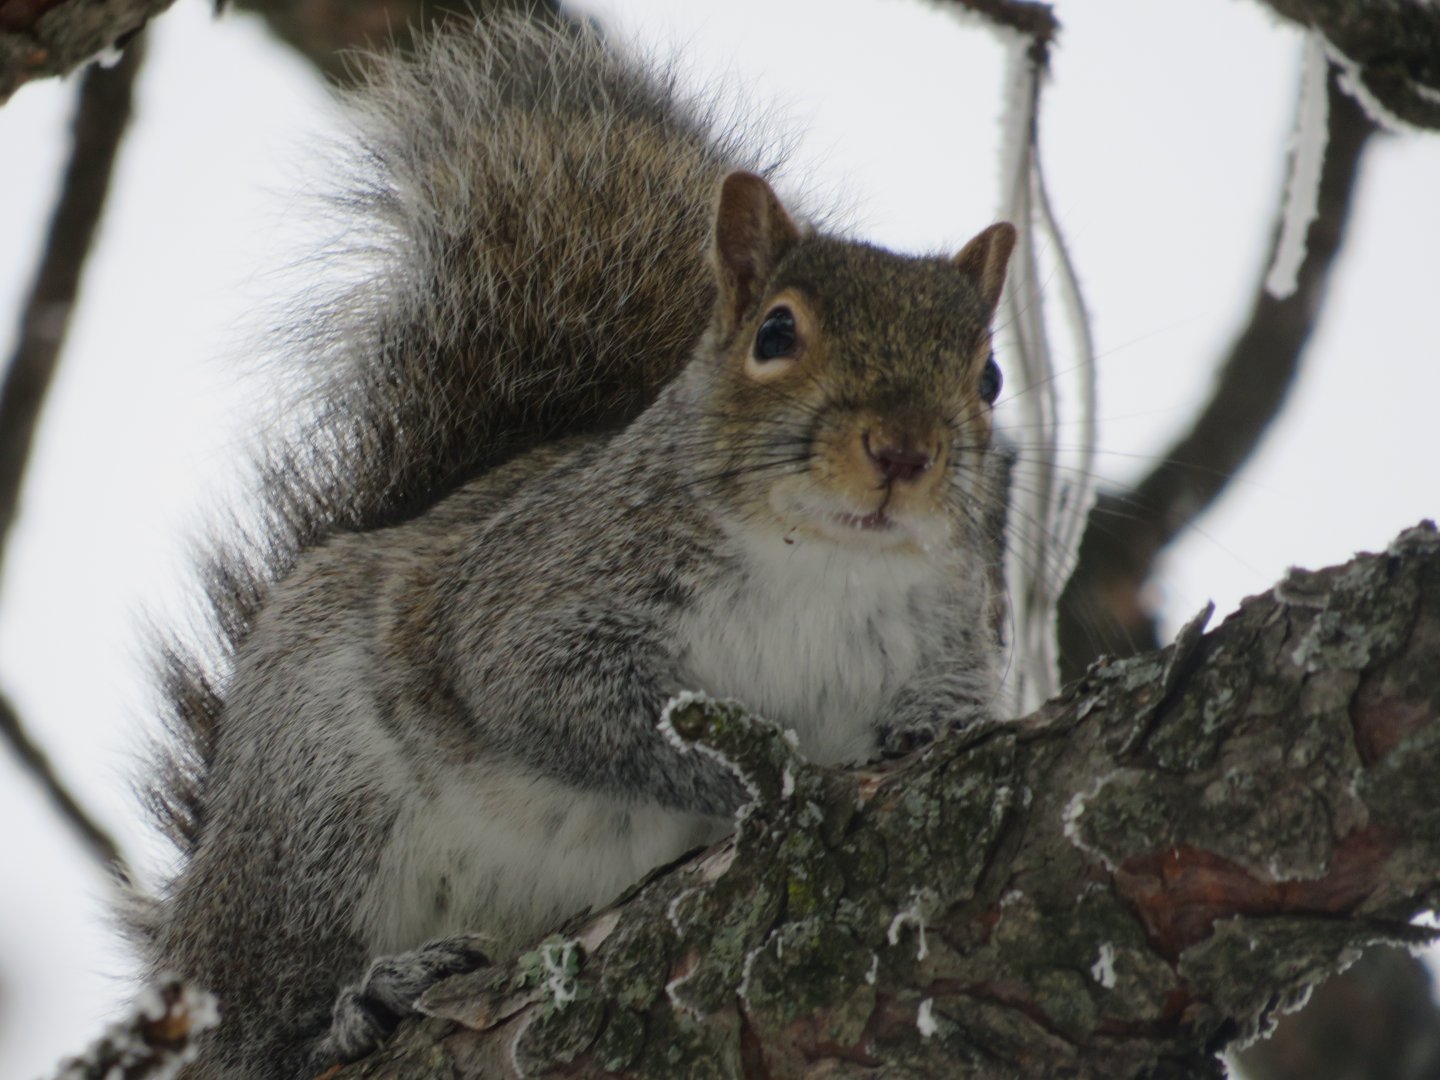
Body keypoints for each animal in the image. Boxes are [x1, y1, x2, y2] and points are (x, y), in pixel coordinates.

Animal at [128, 14, 1017, 1079]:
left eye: (991, 376)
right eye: (776, 333)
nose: (903, 450)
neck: (822, 562)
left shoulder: (951, 635)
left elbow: (949, 705)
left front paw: (926, 739)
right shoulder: (541, 587)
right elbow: (547, 696)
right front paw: (756, 777)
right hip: (311, 809)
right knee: (257, 1020)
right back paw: (355, 1003)